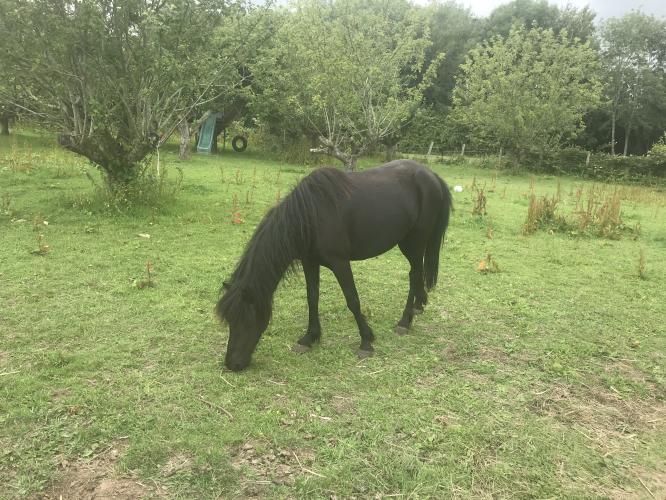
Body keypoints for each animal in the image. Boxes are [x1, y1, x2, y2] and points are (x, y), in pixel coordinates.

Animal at [216, 159, 453, 371]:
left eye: (246, 320)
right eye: (229, 320)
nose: (232, 364)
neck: (311, 216)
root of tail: (431, 175)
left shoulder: (340, 263)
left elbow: (352, 300)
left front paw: (366, 341)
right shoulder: (310, 262)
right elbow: (312, 298)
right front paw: (309, 338)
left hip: (414, 242)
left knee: (415, 274)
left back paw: (404, 322)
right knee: (417, 273)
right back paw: (417, 307)